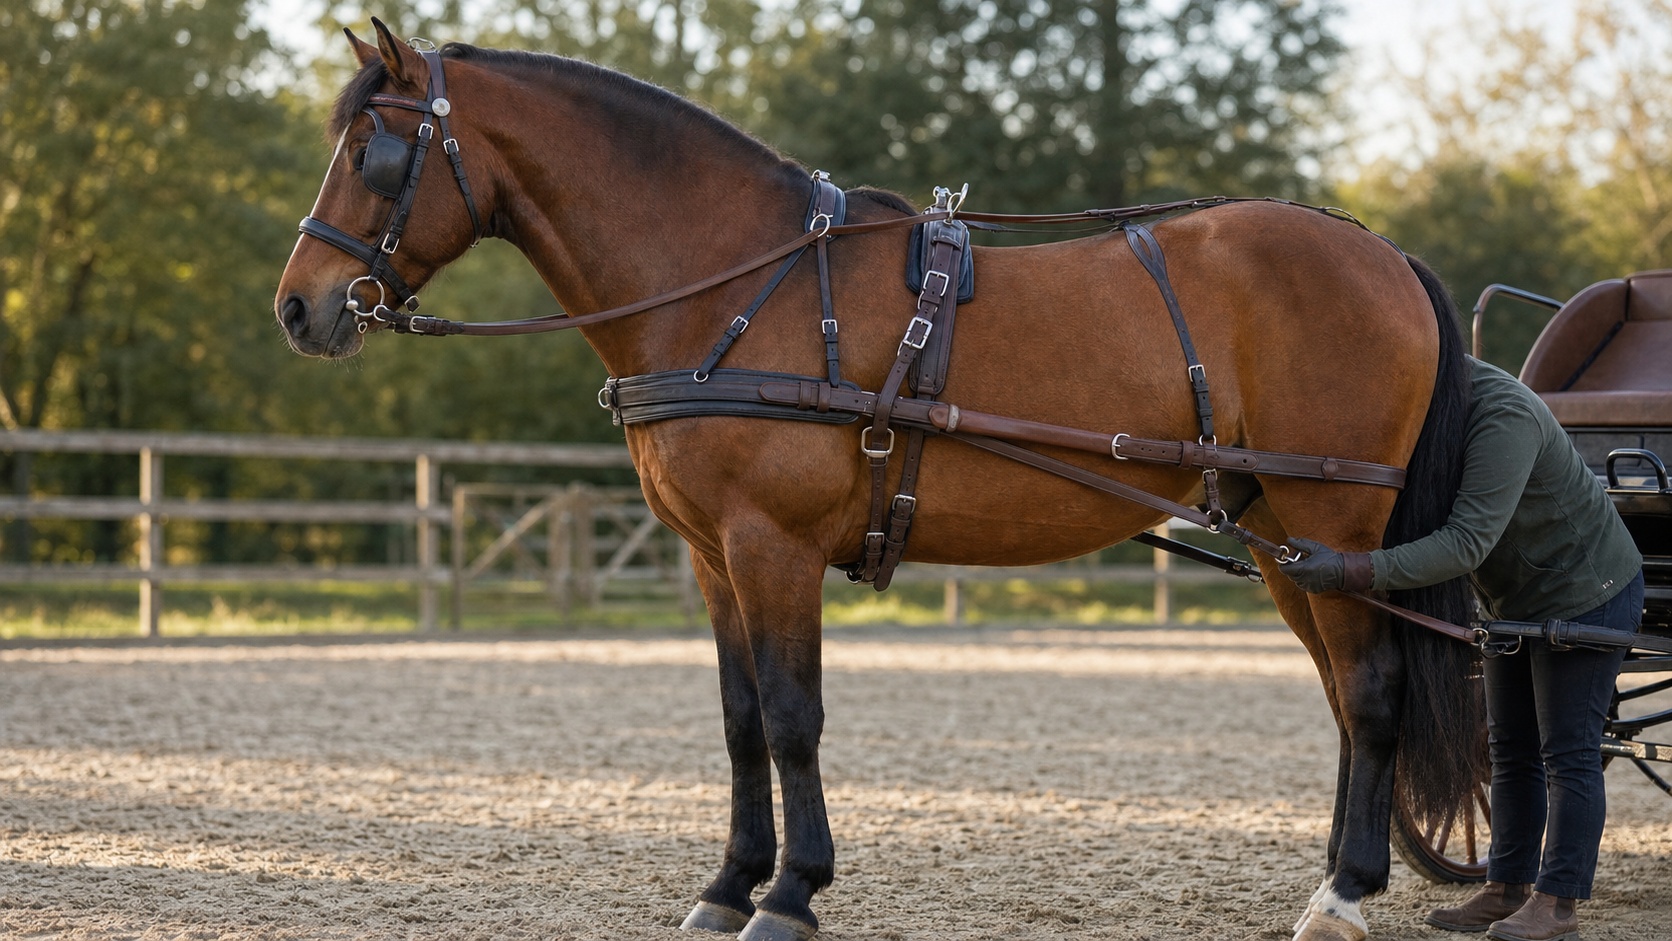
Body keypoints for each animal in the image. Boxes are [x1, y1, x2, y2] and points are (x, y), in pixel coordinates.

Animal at [275, 20, 1481, 941]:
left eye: (374, 150)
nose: (299, 307)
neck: (731, 284)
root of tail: (1382, 253)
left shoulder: (772, 543)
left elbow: (793, 715)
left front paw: (791, 893)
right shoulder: (712, 554)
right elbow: (740, 719)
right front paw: (728, 885)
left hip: (1334, 515)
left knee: (1372, 692)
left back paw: (1344, 893)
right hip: (1285, 537)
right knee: (1344, 699)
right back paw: (1336, 875)